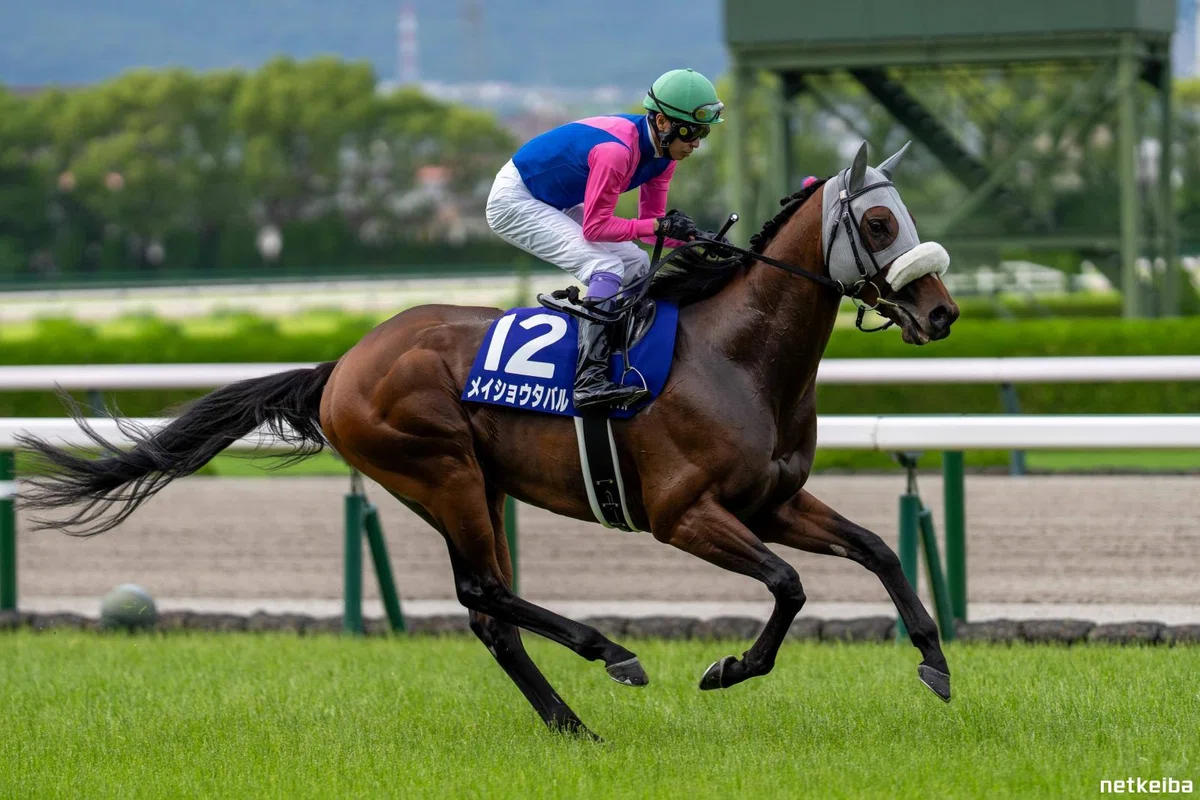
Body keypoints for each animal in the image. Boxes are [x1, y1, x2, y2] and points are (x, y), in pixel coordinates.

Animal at [17, 141, 960, 740]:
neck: (735, 355)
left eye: (908, 216)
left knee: (488, 611)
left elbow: (876, 549)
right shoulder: (684, 514)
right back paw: (610, 654)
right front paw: (726, 668)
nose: (943, 311)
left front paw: (936, 663)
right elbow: (789, 585)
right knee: (485, 591)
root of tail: (342, 364)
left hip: (474, 481)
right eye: (879, 225)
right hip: (441, 470)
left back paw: (572, 724)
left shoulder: (772, 499)